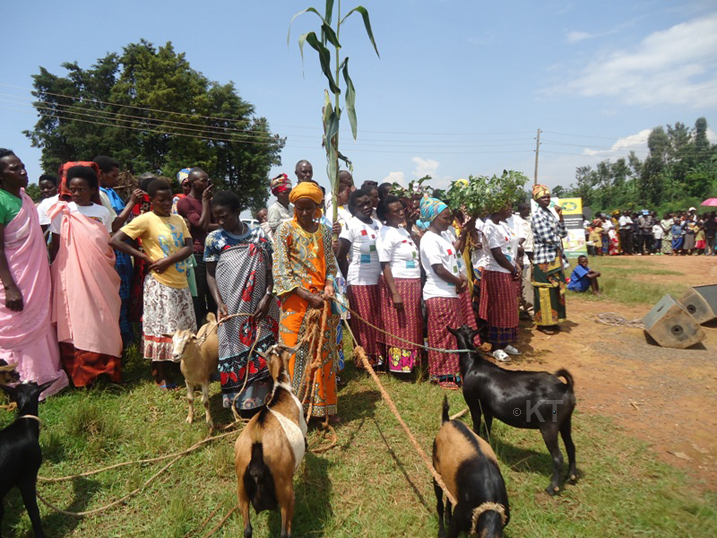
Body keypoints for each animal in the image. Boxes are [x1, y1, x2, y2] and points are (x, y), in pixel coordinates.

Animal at [430, 394, 510, 536]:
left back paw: (448, 517)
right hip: (436, 470)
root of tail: (447, 422)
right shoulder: (459, 518)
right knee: (439, 503)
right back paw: (441, 530)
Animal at [450, 322, 580, 494]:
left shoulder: (473, 403)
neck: (473, 364)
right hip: (566, 421)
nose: (463, 324)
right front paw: (487, 444)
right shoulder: (488, 409)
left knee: (558, 457)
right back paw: (571, 476)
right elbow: (488, 427)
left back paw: (553, 487)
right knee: (571, 447)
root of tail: (566, 387)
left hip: (549, 425)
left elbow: (477, 425)